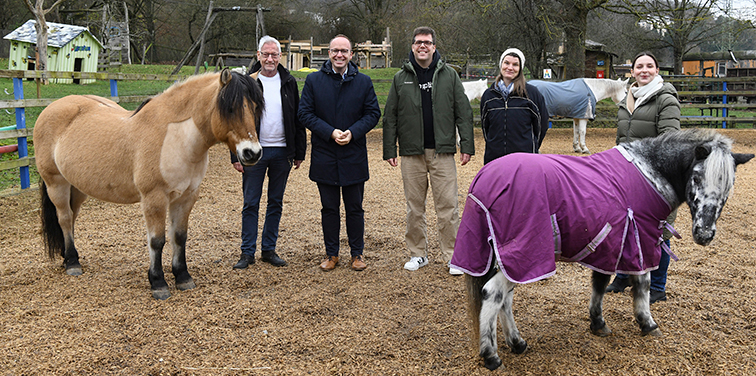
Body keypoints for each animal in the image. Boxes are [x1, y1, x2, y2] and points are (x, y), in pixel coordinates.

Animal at [36, 70, 266, 300]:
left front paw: (183, 277)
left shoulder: (186, 197)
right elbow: (157, 240)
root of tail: (51, 108)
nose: (252, 153)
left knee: (72, 217)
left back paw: (68, 256)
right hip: (56, 183)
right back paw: (72, 263)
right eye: (230, 108)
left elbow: (179, 237)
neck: (175, 138)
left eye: (256, 107)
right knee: (65, 219)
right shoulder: (154, 199)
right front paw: (158, 283)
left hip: (77, 188)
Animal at [452, 129, 752, 370]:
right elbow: (641, 284)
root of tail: (485, 178)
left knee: (505, 299)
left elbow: (599, 282)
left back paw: (517, 342)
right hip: (525, 255)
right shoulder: (639, 240)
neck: (649, 172)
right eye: (697, 178)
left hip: (505, 259)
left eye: (729, 185)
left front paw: (598, 323)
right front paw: (648, 323)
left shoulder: (610, 245)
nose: (704, 234)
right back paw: (491, 355)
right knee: (493, 294)